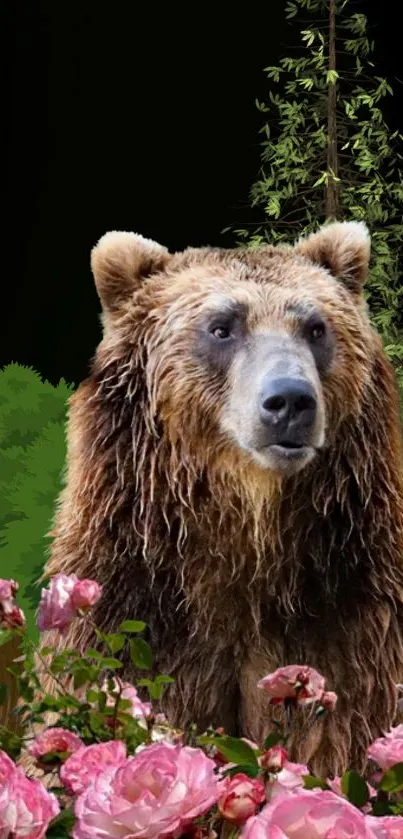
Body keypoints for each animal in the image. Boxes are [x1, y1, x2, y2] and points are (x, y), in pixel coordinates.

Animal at [41, 221, 403, 776]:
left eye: (315, 328)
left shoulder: (353, 611)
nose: (290, 401)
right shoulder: (133, 605)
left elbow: (343, 726)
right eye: (222, 327)